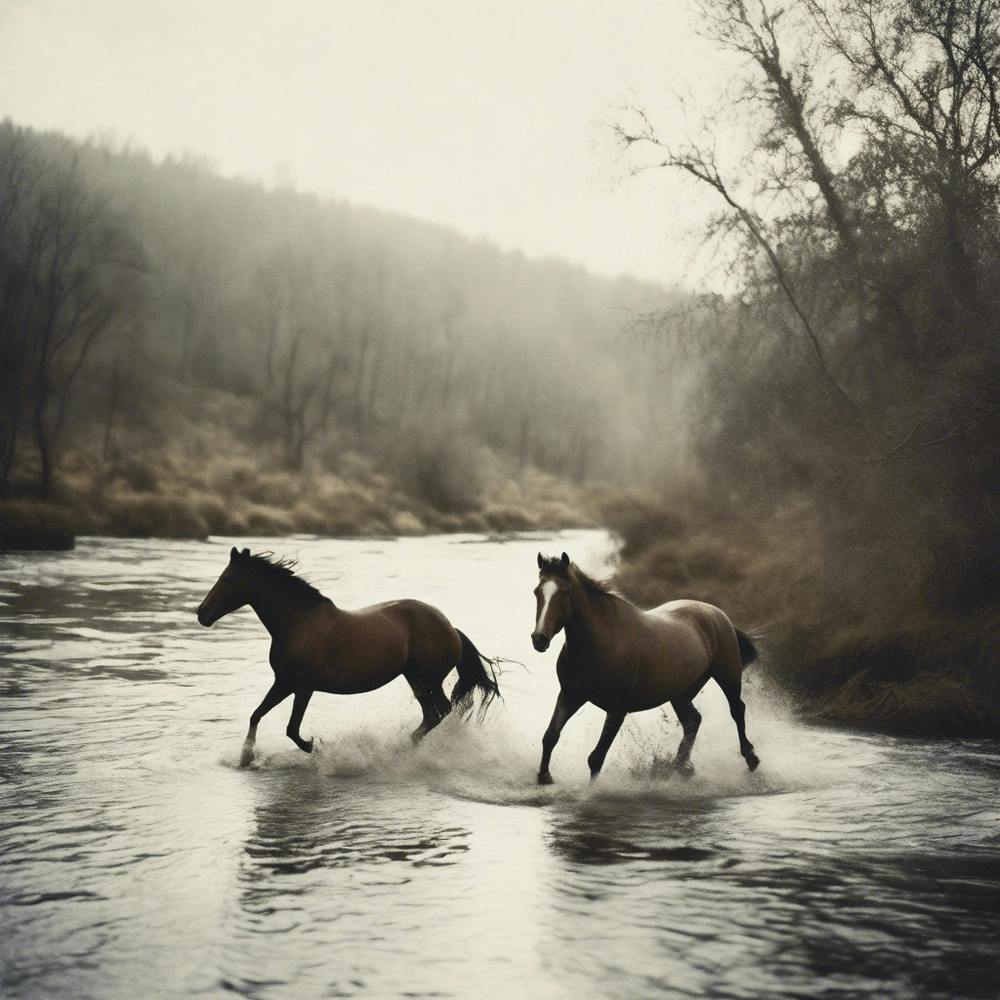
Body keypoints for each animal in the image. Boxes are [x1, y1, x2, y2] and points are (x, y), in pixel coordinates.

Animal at [196, 547, 500, 767]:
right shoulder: (283, 682)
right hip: (415, 679)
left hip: (427, 680)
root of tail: (451, 628)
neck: (298, 624)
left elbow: (292, 729)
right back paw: (403, 749)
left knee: (441, 711)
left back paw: (401, 750)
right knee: (432, 714)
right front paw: (246, 759)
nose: (202, 613)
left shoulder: (304, 686)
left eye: (229, 579)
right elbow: (256, 715)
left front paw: (315, 746)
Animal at [529, 552, 760, 784]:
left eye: (564, 592)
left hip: (728, 676)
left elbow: (596, 758)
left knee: (736, 709)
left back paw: (751, 758)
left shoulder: (617, 709)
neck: (601, 644)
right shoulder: (570, 695)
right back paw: (678, 767)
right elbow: (550, 736)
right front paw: (544, 776)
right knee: (693, 721)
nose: (539, 639)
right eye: (537, 591)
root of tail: (718, 614)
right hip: (681, 693)